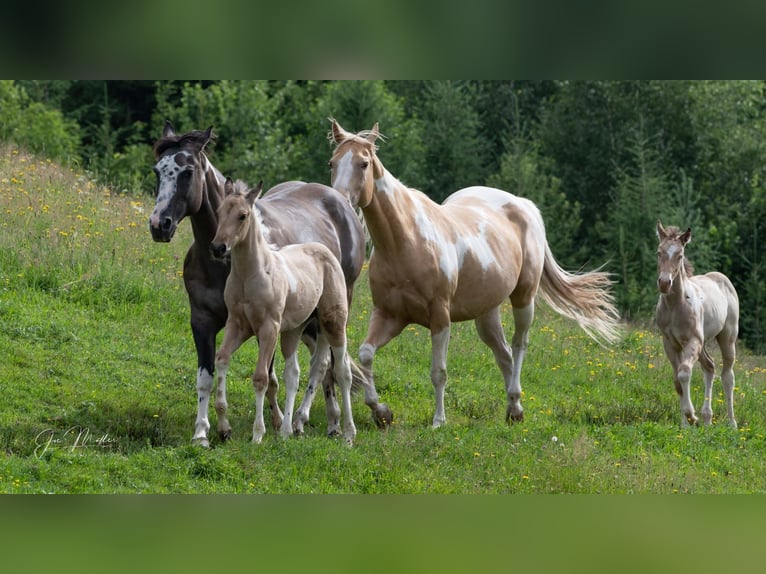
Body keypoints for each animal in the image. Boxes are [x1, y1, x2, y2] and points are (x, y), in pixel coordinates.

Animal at [210, 179, 357, 444]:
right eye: (219, 212)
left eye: (242, 215)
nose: (218, 247)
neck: (252, 274)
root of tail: (326, 250)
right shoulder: (237, 325)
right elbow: (222, 359)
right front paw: (224, 426)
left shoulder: (269, 327)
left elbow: (261, 377)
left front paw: (258, 434)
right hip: (296, 330)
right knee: (296, 372)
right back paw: (289, 429)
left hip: (334, 323)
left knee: (342, 371)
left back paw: (348, 434)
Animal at [328, 120, 621, 427]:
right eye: (332, 162)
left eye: (363, 163)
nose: (340, 200)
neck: (406, 241)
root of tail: (524, 205)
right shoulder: (389, 315)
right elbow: (366, 355)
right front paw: (381, 411)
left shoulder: (440, 318)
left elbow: (439, 371)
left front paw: (438, 421)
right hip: (486, 313)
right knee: (503, 354)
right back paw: (513, 409)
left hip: (524, 298)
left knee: (518, 345)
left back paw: (516, 403)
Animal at [655, 221, 739, 428]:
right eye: (659, 252)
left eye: (680, 255)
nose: (664, 283)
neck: (676, 305)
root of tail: (721, 277)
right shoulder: (670, 344)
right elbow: (677, 381)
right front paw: (685, 424)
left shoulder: (692, 341)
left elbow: (684, 373)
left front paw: (692, 416)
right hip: (702, 345)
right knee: (710, 367)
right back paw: (707, 419)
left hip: (727, 338)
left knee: (727, 376)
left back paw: (732, 423)